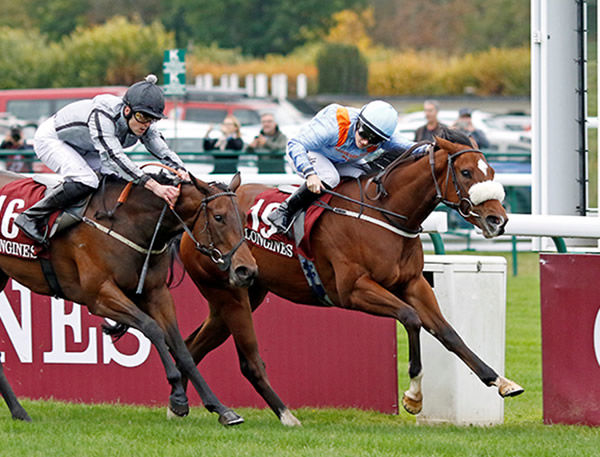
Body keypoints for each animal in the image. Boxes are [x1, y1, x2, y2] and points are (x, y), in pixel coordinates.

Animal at [0, 168, 255, 424]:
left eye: (244, 217)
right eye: (219, 217)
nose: (247, 270)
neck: (128, 223)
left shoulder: (157, 293)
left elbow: (181, 348)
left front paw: (221, 408)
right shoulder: (99, 295)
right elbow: (152, 328)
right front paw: (178, 397)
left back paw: (19, 411)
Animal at [177, 132, 520, 424]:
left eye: (490, 170)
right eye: (466, 172)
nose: (498, 220)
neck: (383, 213)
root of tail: (192, 221)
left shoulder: (413, 283)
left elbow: (448, 332)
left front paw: (501, 381)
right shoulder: (353, 290)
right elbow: (411, 318)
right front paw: (413, 397)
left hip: (247, 294)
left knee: (193, 344)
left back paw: (180, 405)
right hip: (228, 293)